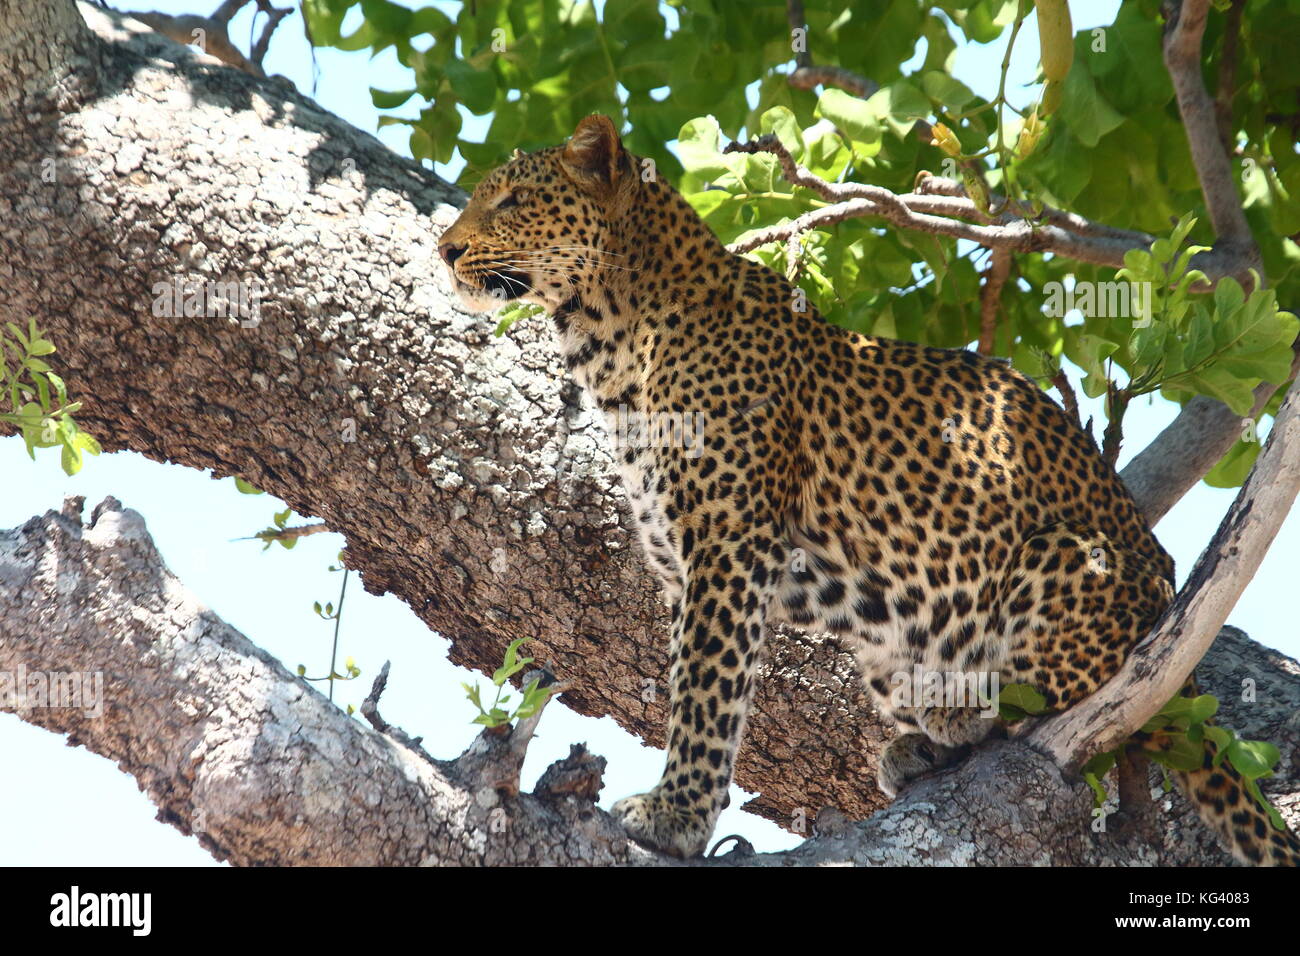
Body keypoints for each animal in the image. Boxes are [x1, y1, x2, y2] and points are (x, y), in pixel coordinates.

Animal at [438, 113, 1300, 866]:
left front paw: (674, 817)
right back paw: (921, 746)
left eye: (510, 201)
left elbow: (708, 694)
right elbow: (693, 681)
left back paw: (967, 706)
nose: (445, 249)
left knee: (1068, 692)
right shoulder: (684, 567)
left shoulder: (729, 545)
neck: (609, 341)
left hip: (1065, 558)